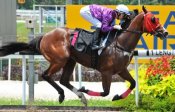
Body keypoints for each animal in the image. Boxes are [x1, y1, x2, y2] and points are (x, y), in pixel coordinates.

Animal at [0, 5, 167, 106]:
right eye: (153, 19)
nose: (164, 32)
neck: (120, 42)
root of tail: (45, 36)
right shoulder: (106, 72)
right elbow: (105, 92)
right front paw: (86, 89)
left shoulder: (121, 70)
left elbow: (133, 83)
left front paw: (117, 96)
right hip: (59, 60)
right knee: (46, 75)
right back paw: (64, 95)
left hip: (70, 61)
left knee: (64, 80)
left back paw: (81, 96)